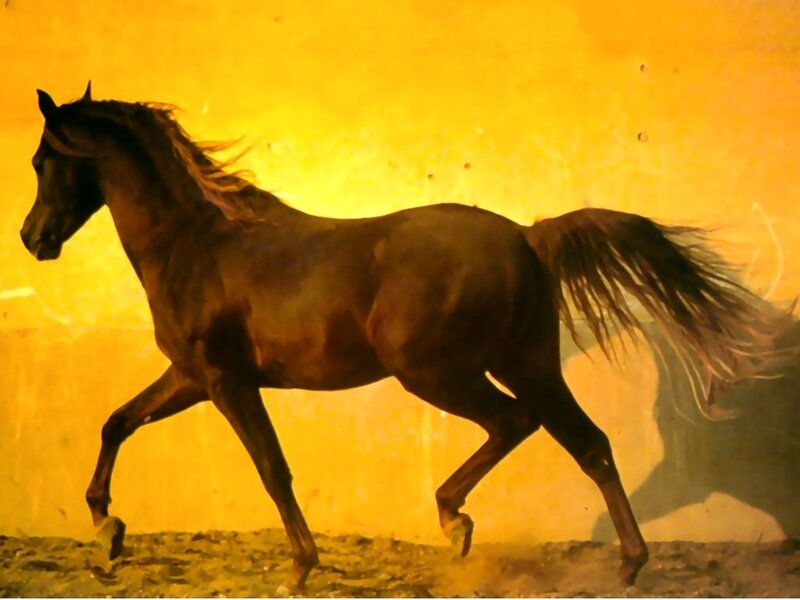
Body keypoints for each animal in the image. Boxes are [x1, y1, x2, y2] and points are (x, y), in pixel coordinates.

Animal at [19, 82, 784, 593]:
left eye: (41, 160)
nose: (32, 239)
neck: (199, 243)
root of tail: (526, 237)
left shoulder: (225, 380)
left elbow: (271, 468)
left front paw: (300, 568)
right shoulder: (189, 377)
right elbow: (117, 422)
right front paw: (108, 532)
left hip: (436, 371)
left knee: (518, 424)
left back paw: (458, 523)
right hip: (526, 363)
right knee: (585, 443)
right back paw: (622, 562)